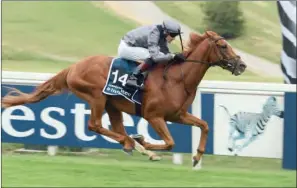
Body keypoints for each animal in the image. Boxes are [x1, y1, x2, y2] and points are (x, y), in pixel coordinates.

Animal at [1, 30, 245, 166]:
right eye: (223, 46)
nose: (241, 65)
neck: (178, 78)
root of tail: (74, 67)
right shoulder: (154, 116)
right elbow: (170, 142)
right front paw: (143, 140)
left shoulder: (178, 114)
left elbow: (204, 125)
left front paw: (197, 157)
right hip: (97, 96)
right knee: (95, 125)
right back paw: (132, 142)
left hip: (113, 105)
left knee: (115, 127)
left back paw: (136, 146)